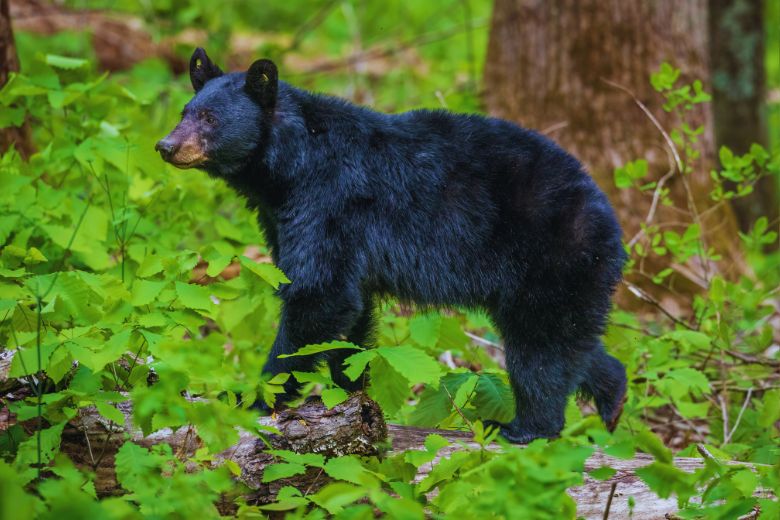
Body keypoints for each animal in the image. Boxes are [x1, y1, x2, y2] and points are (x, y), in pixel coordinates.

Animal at [156, 48, 628, 443]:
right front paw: (349, 393)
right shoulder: (288, 219)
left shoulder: (327, 203)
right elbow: (349, 313)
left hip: (551, 255)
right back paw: (614, 400)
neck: (291, 165)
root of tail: (606, 212)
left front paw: (254, 397)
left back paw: (523, 427)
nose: (166, 145)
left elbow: (318, 295)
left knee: (539, 350)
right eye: (184, 111)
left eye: (210, 118)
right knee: (573, 342)